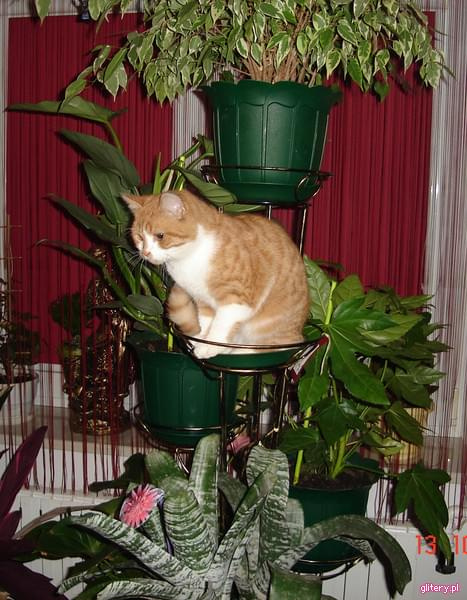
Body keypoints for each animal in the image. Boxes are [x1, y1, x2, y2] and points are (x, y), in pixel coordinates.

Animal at [122, 189, 309, 359]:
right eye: (140, 237)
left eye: (160, 236)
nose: (145, 253)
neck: (190, 258)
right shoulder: (203, 302)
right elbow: (205, 323)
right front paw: (201, 339)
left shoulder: (235, 301)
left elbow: (221, 326)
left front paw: (209, 347)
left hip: (268, 330)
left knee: (273, 347)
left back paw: (239, 351)